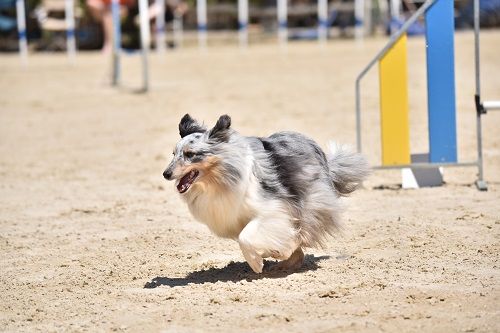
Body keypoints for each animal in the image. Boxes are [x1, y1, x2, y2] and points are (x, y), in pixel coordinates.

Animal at [162, 114, 370, 272]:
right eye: (173, 154)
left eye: (190, 154)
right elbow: (247, 237)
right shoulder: (236, 216)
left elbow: (246, 238)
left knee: (305, 230)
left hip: (310, 201)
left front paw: (258, 263)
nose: (166, 174)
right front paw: (269, 254)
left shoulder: (273, 210)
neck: (221, 178)